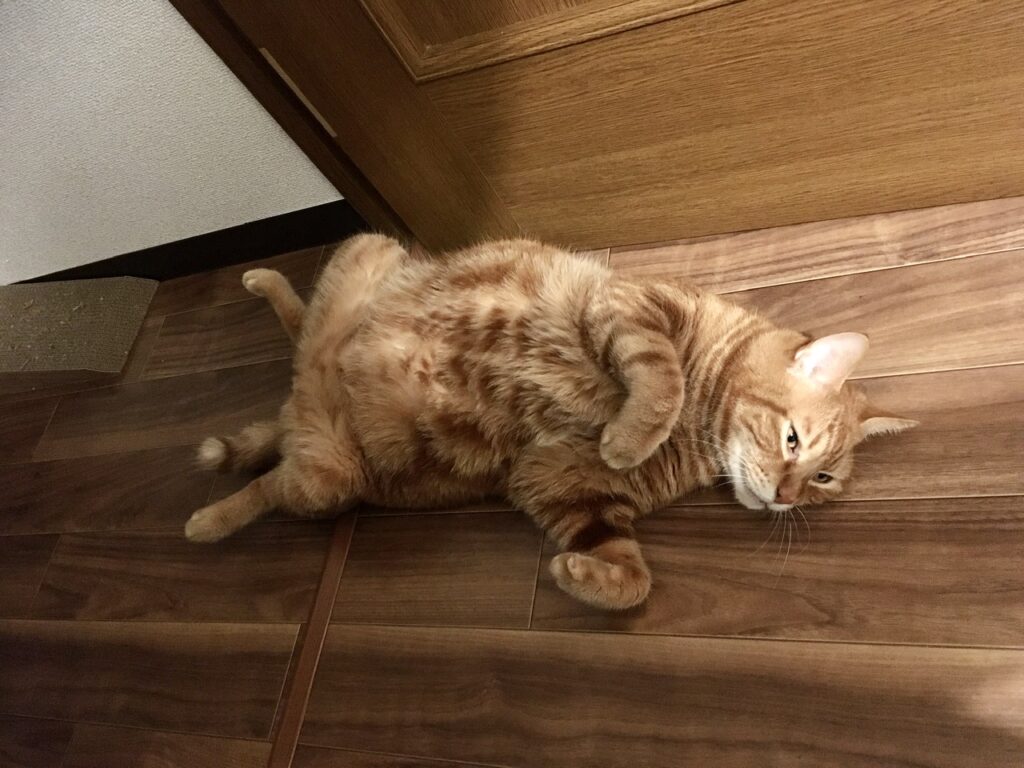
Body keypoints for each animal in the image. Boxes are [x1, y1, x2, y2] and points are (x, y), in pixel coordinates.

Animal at [185, 235, 916, 610]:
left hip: (327, 472)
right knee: (302, 331)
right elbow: (660, 377)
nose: (786, 499)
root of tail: (298, 403)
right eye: (792, 440)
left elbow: (634, 579)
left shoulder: (569, 491)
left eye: (822, 480)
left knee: (276, 457)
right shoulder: (631, 306)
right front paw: (632, 433)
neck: (701, 433)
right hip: (369, 254)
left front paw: (579, 577)